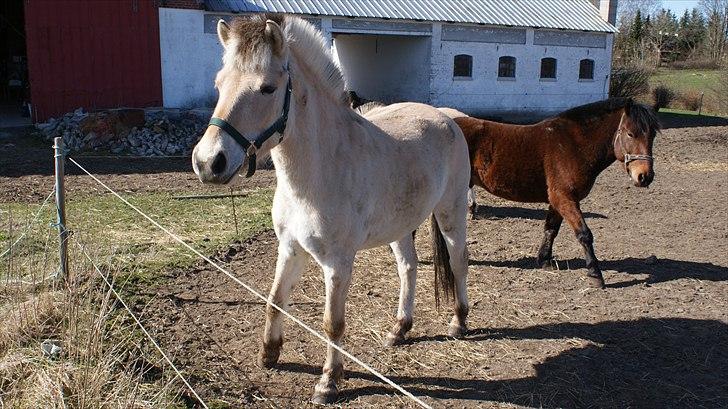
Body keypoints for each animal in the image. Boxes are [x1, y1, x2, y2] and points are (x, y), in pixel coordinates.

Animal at [191, 13, 470, 402]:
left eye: (267, 88)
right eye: (219, 85)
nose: (208, 163)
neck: (319, 170)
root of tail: (446, 118)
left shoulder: (337, 263)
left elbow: (332, 323)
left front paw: (329, 381)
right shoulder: (290, 248)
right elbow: (275, 299)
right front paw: (268, 354)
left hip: (451, 213)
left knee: (459, 261)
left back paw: (459, 321)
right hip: (400, 226)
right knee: (408, 268)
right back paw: (399, 329)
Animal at [458, 98, 664, 286]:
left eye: (652, 135)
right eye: (630, 134)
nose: (644, 176)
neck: (573, 145)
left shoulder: (558, 201)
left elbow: (551, 229)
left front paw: (545, 260)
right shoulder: (565, 198)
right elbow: (584, 234)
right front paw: (595, 274)